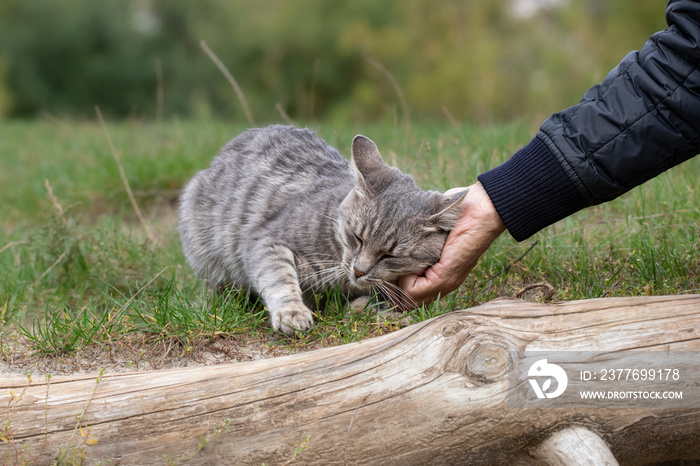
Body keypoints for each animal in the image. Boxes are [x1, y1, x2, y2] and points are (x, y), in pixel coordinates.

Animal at [178, 124, 468, 334]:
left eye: (390, 256)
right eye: (357, 238)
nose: (359, 271)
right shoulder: (266, 240)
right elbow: (279, 276)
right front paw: (292, 312)